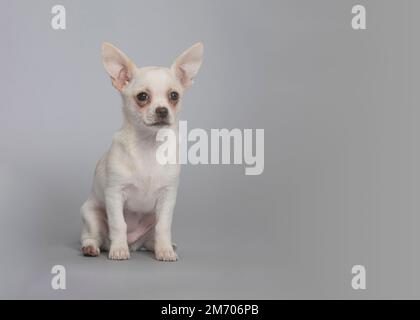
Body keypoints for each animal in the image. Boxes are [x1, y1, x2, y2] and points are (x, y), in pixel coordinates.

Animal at [80, 41, 203, 260]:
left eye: (174, 95)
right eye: (142, 96)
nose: (162, 110)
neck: (148, 145)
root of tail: (135, 244)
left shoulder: (167, 196)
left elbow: (164, 226)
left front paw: (165, 251)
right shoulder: (114, 194)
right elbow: (118, 224)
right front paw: (119, 249)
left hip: (149, 227)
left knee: (151, 238)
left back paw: (162, 246)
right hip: (90, 214)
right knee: (92, 237)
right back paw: (92, 248)